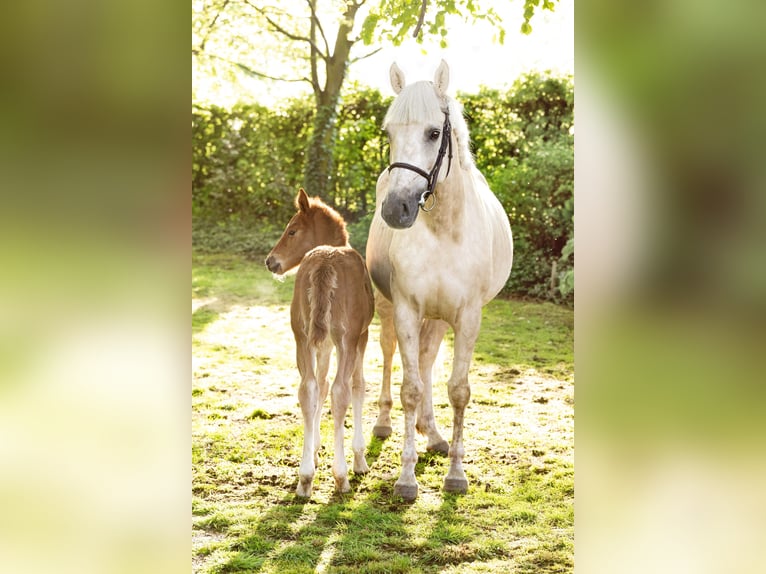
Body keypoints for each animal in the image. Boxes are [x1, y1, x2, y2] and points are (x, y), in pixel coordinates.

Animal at [368, 63, 516, 502]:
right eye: (389, 133)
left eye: (434, 133)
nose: (396, 209)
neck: (444, 231)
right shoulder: (405, 309)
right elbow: (410, 389)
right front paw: (406, 478)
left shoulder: (467, 317)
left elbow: (458, 390)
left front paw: (456, 473)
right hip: (390, 311)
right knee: (391, 357)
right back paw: (385, 423)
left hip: (436, 318)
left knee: (428, 360)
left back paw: (432, 433)